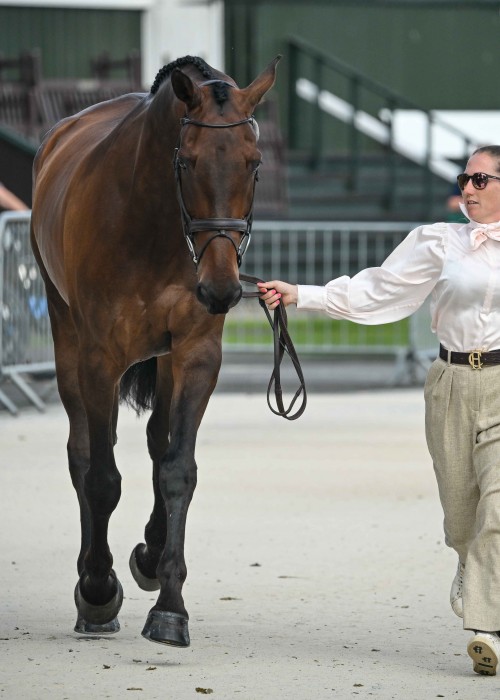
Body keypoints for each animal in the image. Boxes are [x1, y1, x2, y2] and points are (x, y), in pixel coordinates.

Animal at [30, 54, 280, 646]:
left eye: (254, 162)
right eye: (186, 161)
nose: (222, 289)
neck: (150, 224)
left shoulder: (195, 355)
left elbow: (177, 469)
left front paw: (169, 605)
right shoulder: (99, 357)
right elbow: (100, 477)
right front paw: (99, 591)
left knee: (155, 440)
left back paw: (149, 551)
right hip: (66, 338)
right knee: (83, 452)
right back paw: (92, 587)